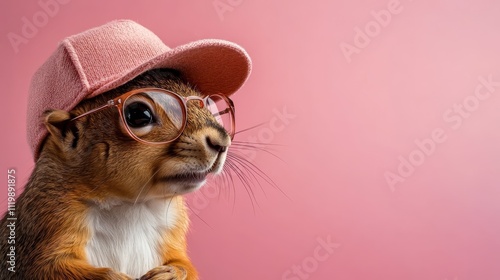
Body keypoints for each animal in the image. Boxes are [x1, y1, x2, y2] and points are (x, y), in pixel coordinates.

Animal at [0, 68, 235, 280]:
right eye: (139, 114)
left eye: (210, 105)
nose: (222, 143)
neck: (131, 206)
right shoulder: (43, 225)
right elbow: (49, 268)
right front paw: (115, 277)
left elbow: (184, 265)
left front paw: (173, 273)